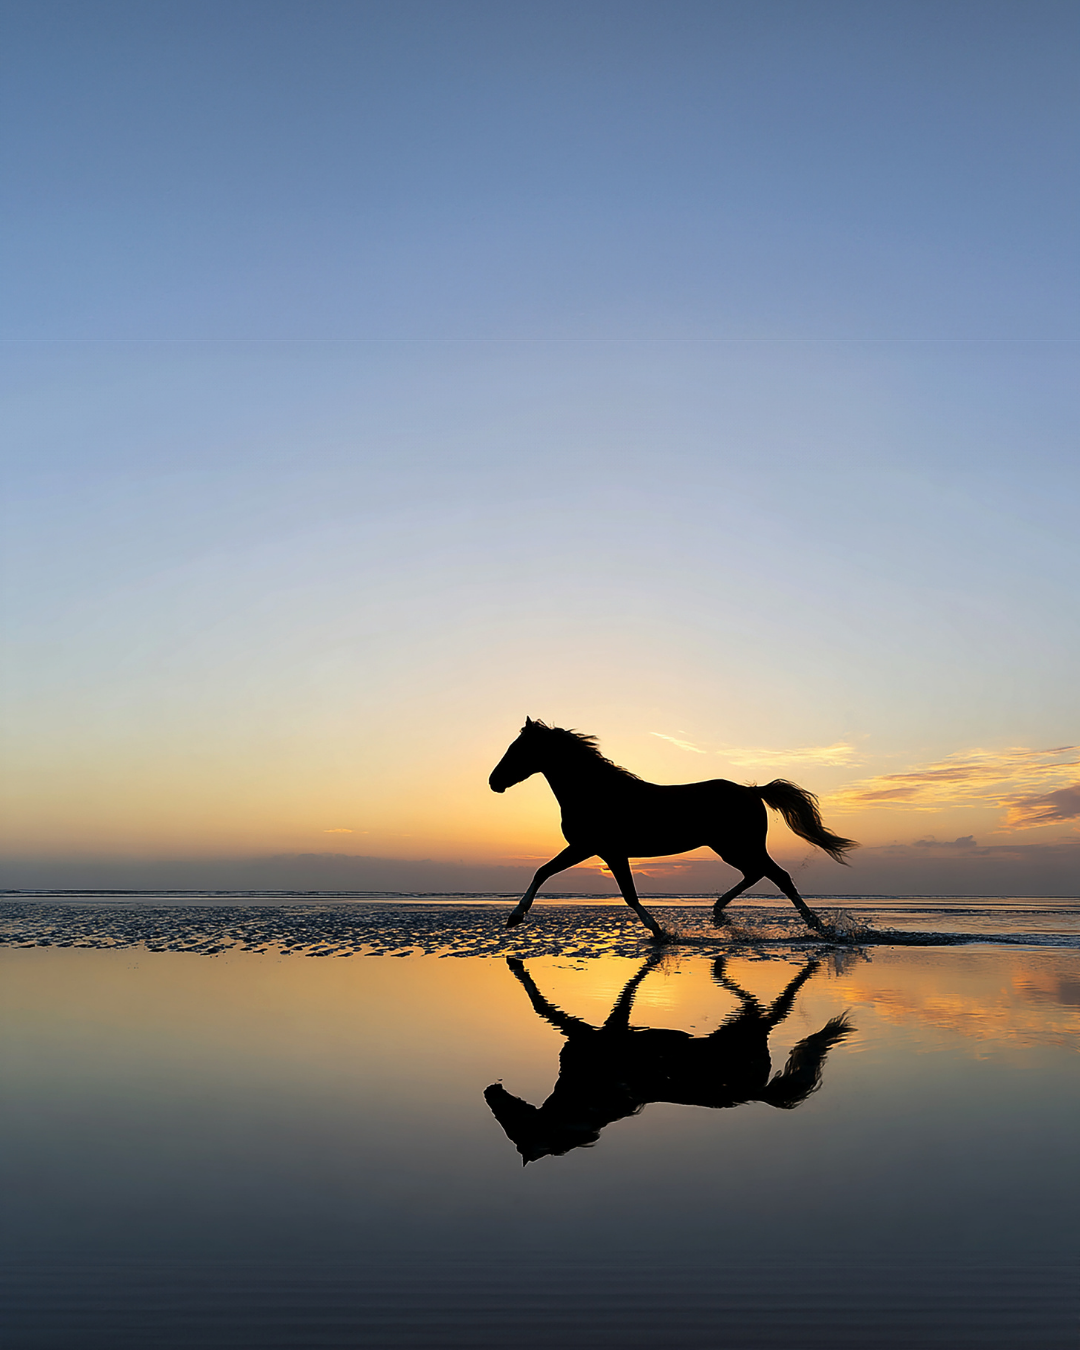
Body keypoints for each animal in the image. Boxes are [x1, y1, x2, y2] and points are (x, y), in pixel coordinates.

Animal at [484, 953, 852, 1163]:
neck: (589, 1096)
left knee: (779, 1006)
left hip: (751, 1026)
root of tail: (755, 1093)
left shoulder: (591, 1031)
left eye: (512, 1128)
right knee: (760, 1004)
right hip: (743, 1022)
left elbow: (540, 1004)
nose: (490, 1091)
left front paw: (515, 964)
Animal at [488, 718, 857, 934]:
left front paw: (659, 932)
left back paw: (819, 926)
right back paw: (718, 912)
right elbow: (548, 872)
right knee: (755, 874)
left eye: (518, 749)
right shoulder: (598, 851)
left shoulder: (596, 849)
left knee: (778, 876)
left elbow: (622, 892)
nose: (494, 782)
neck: (597, 792)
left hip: (741, 845)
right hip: (729, 848)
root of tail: (752, 791)